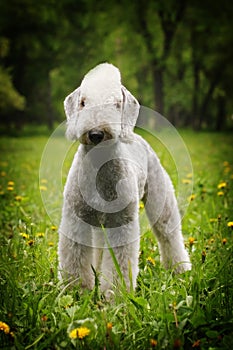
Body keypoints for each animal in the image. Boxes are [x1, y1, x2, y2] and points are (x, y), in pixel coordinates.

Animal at [58, 63, 191, 296]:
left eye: (116, 104)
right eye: (83, 103)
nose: (96, 133)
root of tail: (136, 136)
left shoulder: (121, 223)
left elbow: (118, 265)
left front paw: (115, 297)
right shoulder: (76, 219)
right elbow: (74, 259)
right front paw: (76, 293)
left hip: (160, 199)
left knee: (169, 235)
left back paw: (180, 269)